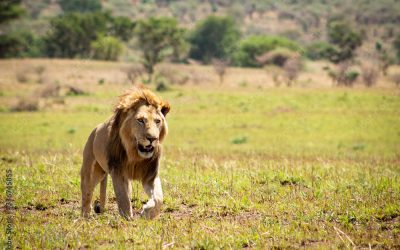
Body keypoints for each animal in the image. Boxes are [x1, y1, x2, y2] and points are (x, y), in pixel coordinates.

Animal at [80, 85, 170, 219]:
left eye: (157, 121)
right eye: (141, 120)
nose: (152, 138)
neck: (135, 154)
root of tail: (95, 129)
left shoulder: (150, 175)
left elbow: (159, 197)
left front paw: (147, 212)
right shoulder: (117, 171)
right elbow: (123, 198)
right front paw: (127, 218)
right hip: (91, 170)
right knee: (87, 191)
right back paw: (85, 214)